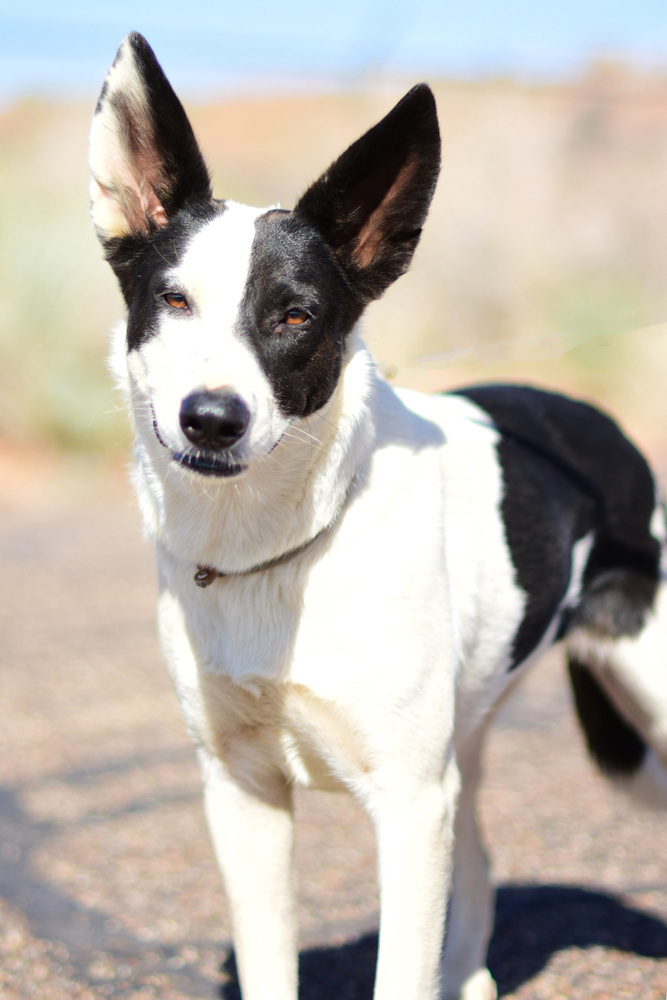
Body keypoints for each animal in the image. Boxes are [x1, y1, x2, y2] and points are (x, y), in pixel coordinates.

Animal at [90, 33, 667, 1000]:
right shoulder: (243, 794)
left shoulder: (405, 802)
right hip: (464, 739)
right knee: (479, 863)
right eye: (173, 301)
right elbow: (270, 962)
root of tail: (604, 429)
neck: (276, 548)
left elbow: (399, 968)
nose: (211, 419)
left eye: (294, 316)